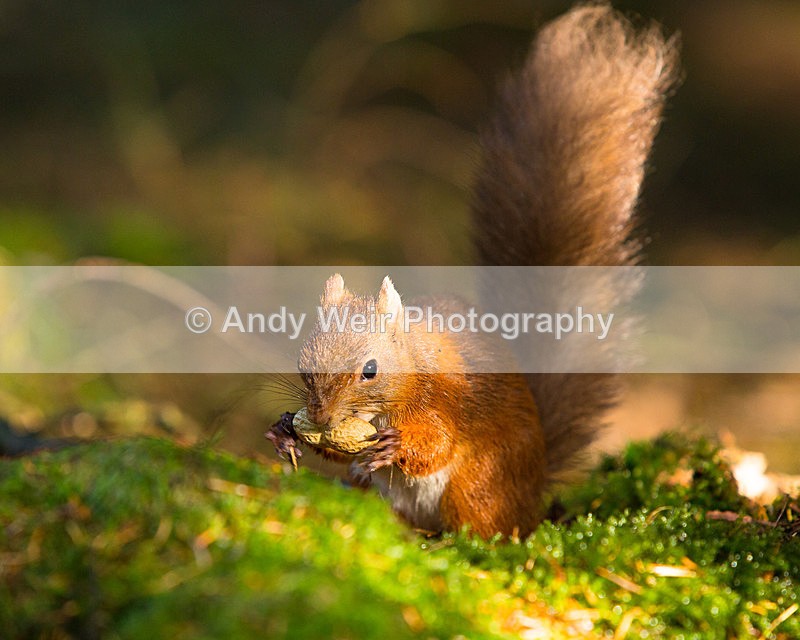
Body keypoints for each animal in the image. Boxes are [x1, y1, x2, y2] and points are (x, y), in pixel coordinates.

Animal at [267, 5, 678, 539]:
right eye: (303, 359)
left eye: (370, 370)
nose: (321, 414)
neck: (411, 370)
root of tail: (533, 492)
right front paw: (283, 430)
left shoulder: (443, 402)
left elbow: (435, 444)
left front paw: (395, 447)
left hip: (479, 484)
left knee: (485, 530)